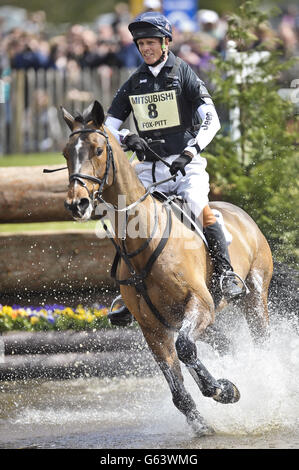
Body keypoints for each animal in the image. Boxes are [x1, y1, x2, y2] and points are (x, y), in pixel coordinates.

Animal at [60, 100, 274, 436]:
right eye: (66, 153)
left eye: (97, 149)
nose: (76, 203)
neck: (143, 239)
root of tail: (243, 215)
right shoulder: (153, 327)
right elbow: (178, 387)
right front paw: (203, 421)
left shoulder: (199, 304)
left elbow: (185, 349)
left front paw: (224, 390)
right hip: (204, 321)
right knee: (222, 346)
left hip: (253, 298)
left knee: (259, 340)